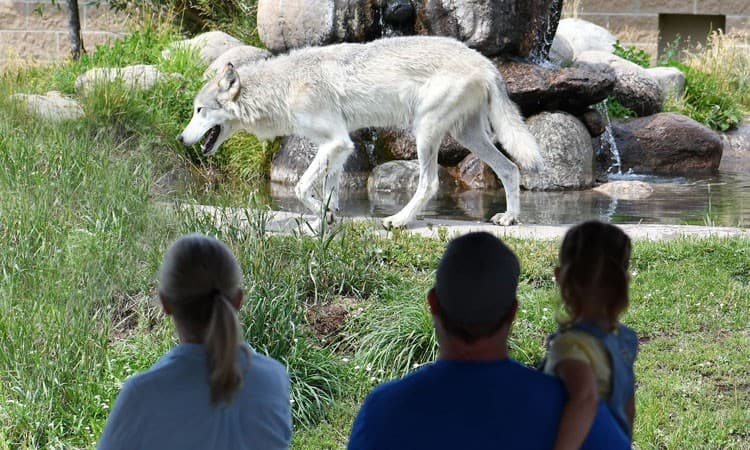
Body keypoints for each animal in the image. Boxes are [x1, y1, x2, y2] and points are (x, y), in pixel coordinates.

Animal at [178, 36, 543, 228]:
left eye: (199, 111)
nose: (181, 138)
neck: (284, 87)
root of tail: (487, 62)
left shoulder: (337, 142)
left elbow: (300, 187)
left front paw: (324, 216)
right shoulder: (339, 147)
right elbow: (329, 190)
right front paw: (327, 219)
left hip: (425, 132)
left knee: (430, 183)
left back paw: (398, 220)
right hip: (468, 136)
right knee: (510, 169)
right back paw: (510, 218)